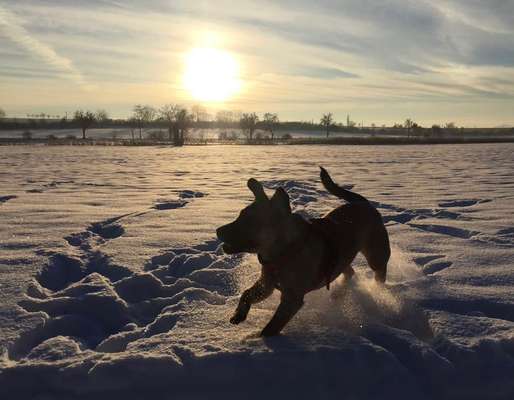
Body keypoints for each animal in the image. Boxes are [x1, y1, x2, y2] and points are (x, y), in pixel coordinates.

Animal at [213, 167, 388, 336]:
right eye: (240, 215)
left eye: (249, 221)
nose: (217, 230)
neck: (284, 252)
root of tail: (364, 203)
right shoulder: (266, 284)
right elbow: (246, 294)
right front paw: (238, 315)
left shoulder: (291, 299)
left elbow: (271, 328)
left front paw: (258, 340)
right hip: (341, 258)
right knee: (349, 271)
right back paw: (338, 294)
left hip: (376, 256)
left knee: (378, 274)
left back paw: (378, 291)